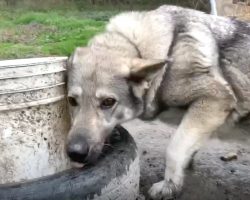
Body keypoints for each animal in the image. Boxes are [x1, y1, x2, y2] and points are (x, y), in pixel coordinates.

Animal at [66, 5, 250, 200]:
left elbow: (174, 149)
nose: (75, 153)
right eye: (72, 100)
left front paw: (170, 185)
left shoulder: (214, 99)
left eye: (108, 102)